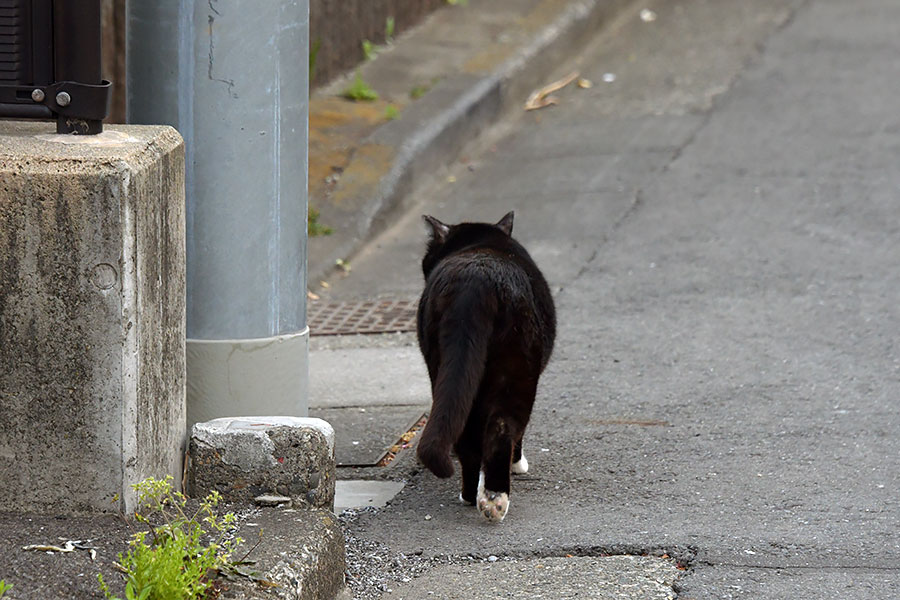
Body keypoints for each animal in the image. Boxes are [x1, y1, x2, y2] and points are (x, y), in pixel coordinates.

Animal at [416, 213, 556, 524]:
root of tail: (474, 283)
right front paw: (518, 465)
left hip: (445, 368)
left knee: (466, 434)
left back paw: (473, 496)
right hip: (517, 372)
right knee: (503, 428)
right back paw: (492, 498)